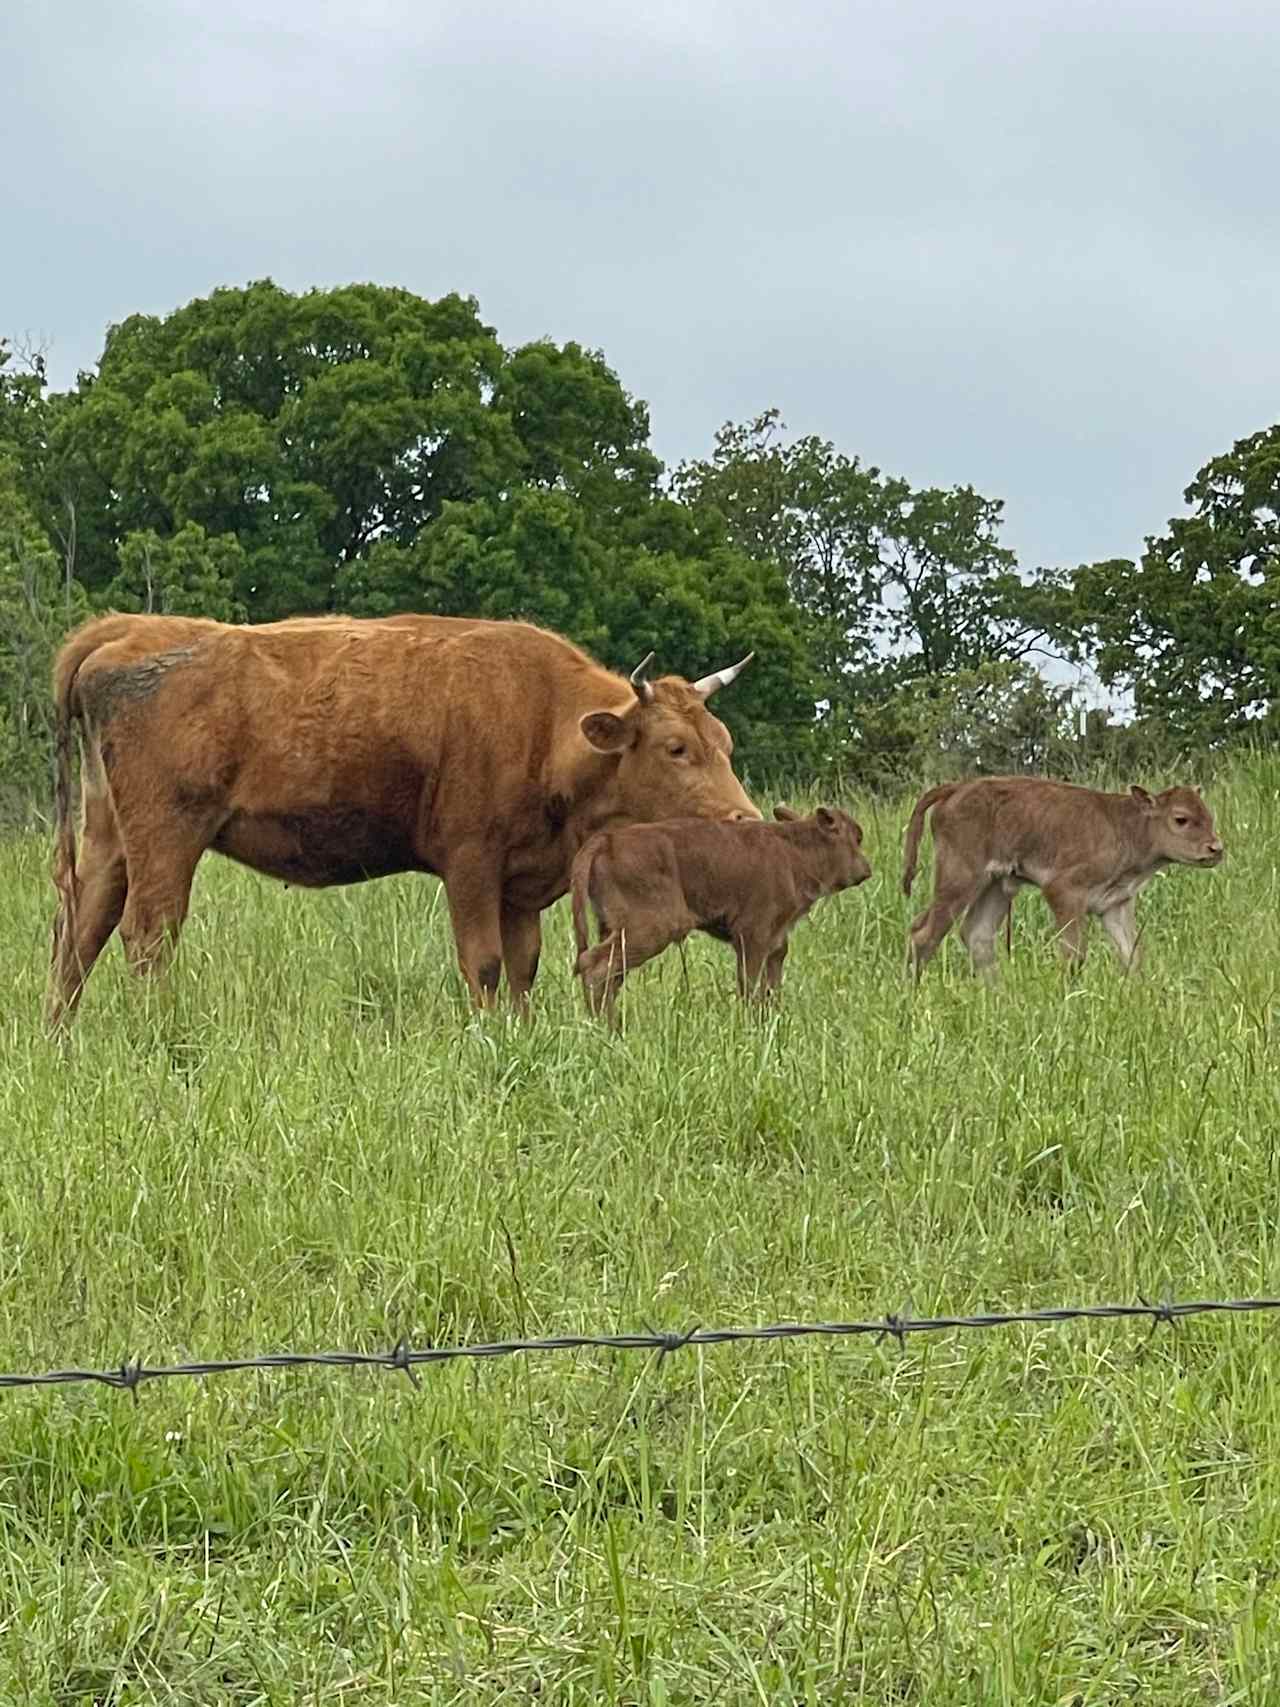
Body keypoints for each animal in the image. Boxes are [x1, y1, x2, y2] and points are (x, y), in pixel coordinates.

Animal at [45, 614, 761, 1024]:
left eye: (724, 742)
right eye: (676, 747)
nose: (744, 818)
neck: (543, 718)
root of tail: (127, 628)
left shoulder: (520, 883)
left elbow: (523, 965)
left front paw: (521, 1033)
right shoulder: (471, 864)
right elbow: (485, 962)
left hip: (111, 838)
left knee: (80, 933)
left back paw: (61, 1037)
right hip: (168, 837)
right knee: (147, 936)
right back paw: (161, 1034)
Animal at [570, 805, 873, 1017]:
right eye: (857, 836)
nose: (866, 870)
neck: (794, 849)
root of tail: (608, 839)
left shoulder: (775, 943)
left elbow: (771, 985)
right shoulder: (752, 936)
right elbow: (751, 985)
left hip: (612, 928)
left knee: (610, 974)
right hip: (650, 929)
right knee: (595, 965)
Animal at [907, 771, 1228, 976]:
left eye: (1209, 816)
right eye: (1181, 819)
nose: (1216, 848)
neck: (1128, 828)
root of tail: (957, 787)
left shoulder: (1115, 904)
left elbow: (1131, 954)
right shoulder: (1064, 891)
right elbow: (1074, 954)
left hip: (995, 884)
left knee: (978, 935)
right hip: (959, 879)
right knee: (924, 934)